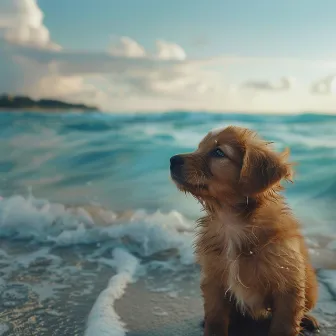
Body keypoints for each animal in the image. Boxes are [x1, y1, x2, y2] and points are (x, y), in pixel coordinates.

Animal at [169, 126, 318, 336]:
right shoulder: (214, 281)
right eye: (199, 148)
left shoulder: (288, 284)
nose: (172, 160)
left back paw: (309, 319)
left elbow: (284, 324)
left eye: (218, 152)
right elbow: (215, 319)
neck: (232, 222)